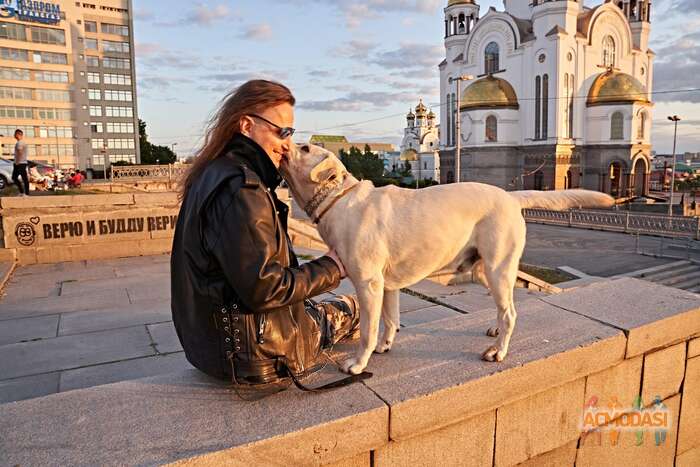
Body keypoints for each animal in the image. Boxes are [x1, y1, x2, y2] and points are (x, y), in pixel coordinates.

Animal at [282, 144, 616, 374]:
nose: (284, 141)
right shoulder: (387, 286)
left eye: (305, 148)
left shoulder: (368, 285)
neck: (339, 199)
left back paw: (497, 351)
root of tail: (510, 196)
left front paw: (357, 363)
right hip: (484, 270)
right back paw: (496, 332)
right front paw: (385, 346)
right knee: (504, 307)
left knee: (510, 312)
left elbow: (368, 329)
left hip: (497, 268)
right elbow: (389, 320)